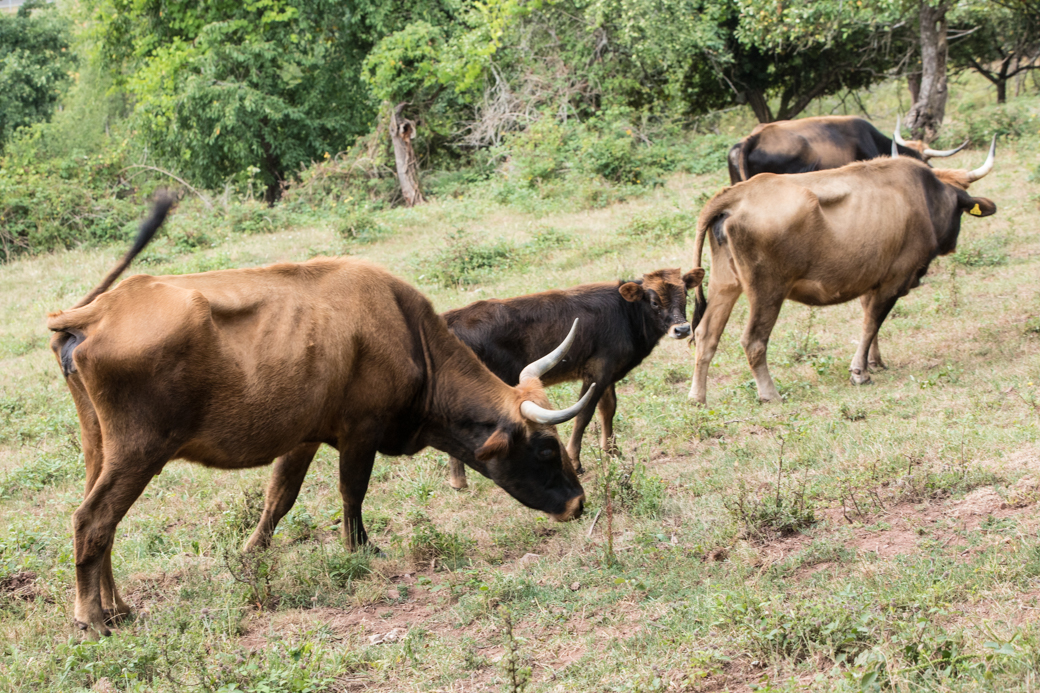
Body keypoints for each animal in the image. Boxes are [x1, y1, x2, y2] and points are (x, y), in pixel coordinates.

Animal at [48, 196, 594, 632]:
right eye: (546, 448)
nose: (578, 504)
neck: (407, 332)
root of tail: (97, 311)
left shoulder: (303, 436)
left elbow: (279, 499)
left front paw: (250, 556)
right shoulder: (360, 431)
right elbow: (352, 492)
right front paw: (360, 551)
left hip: (101, 447)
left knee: (103, 524)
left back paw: (118, 607)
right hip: (139, 450)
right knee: (92, 520)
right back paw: (93, 619)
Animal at [443, 265, 703, 484]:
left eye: (685, 294)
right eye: (654, 302)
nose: (682, 329)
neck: (626, 314)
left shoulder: (607, 371)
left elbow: (608, 409)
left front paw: (612, 452)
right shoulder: (597, 370)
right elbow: (584, 415)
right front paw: (576, 462)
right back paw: (460, 481)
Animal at [686, 139, 994, 405]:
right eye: (960, 209)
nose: (952, 242)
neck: (923, 197)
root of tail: (739, 193)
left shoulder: (872, 279)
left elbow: (870, 322)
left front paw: (874, 361)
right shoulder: (893, 280)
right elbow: (872, 323)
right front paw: (860, 372)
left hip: (725, 285)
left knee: (706, 335)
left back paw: (697, 397)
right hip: (767, 291)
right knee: (753, 341)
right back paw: (770, 394)